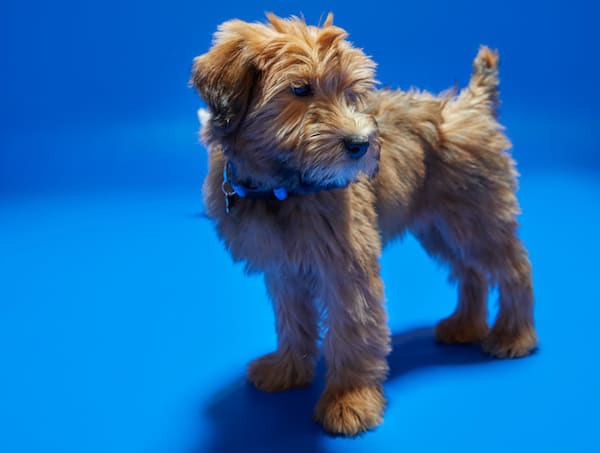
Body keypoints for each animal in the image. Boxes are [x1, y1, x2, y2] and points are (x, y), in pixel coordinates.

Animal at [190, 12, 536, 432]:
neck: (281, 187)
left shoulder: (347, 268)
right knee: (471, 272)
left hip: (478, 221)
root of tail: (471, 105)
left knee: (514, 269)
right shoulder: (285, 268)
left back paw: (514, 335)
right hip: (440, 227)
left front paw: (348, 400)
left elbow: (352, 330)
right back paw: (466, 326)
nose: (361, 145)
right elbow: (293, 320)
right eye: (300, 89)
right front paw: (288, 369)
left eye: (350, 92)